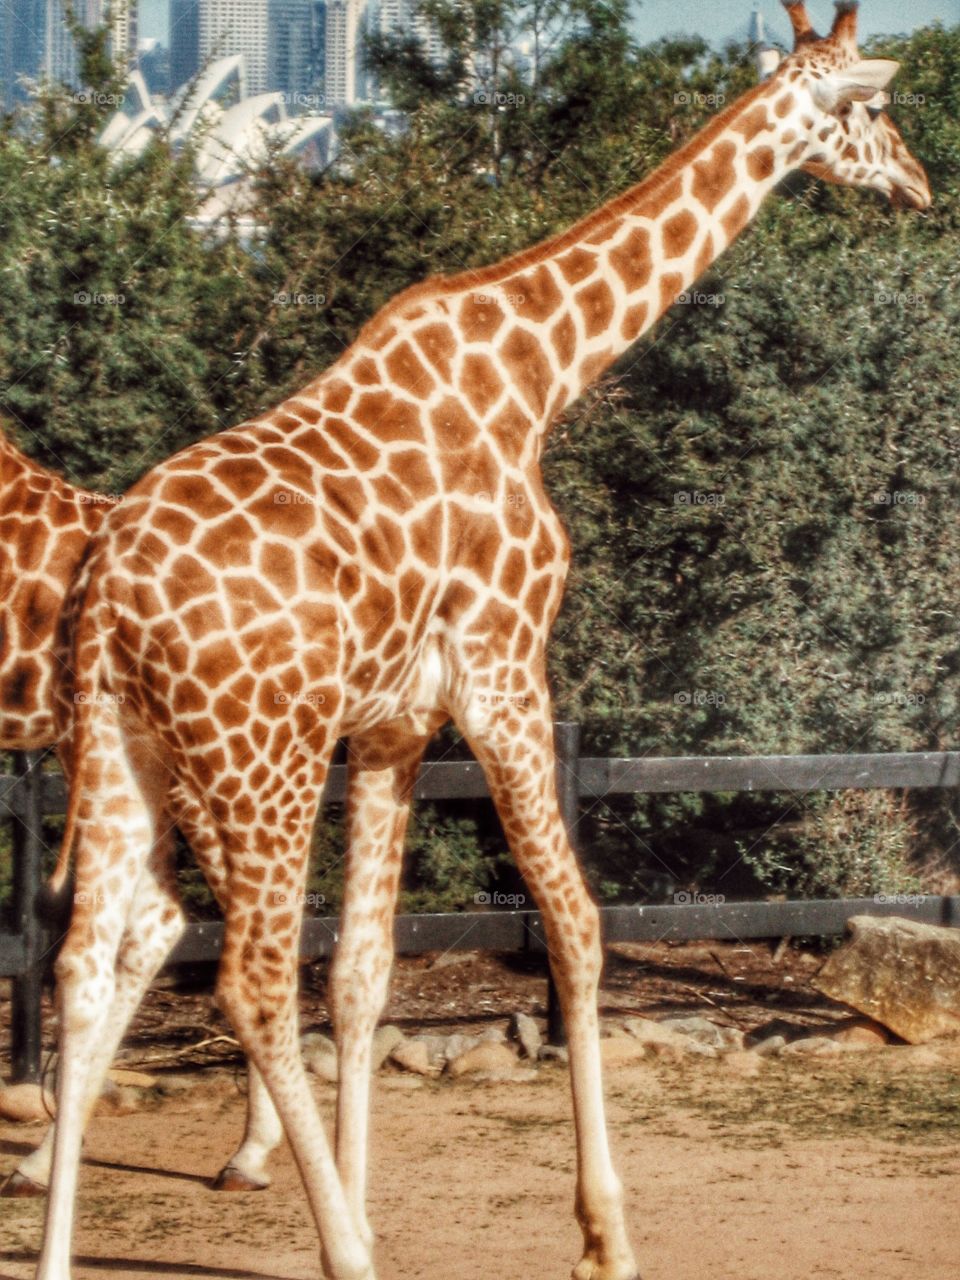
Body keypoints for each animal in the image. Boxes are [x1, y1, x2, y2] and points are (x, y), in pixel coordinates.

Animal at [35, 4, 930, 1279]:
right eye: (872, 108)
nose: (916, 180)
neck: (537, 374)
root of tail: (106, 593)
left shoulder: (395, 723)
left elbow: (365, 974)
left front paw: (365, 1206)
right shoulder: (505, 668)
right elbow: (577, 925)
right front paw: (604, 1231)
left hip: (121, 752)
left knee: (85, 960)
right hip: (261, 763)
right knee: (247, 982)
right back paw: (346, 1248)